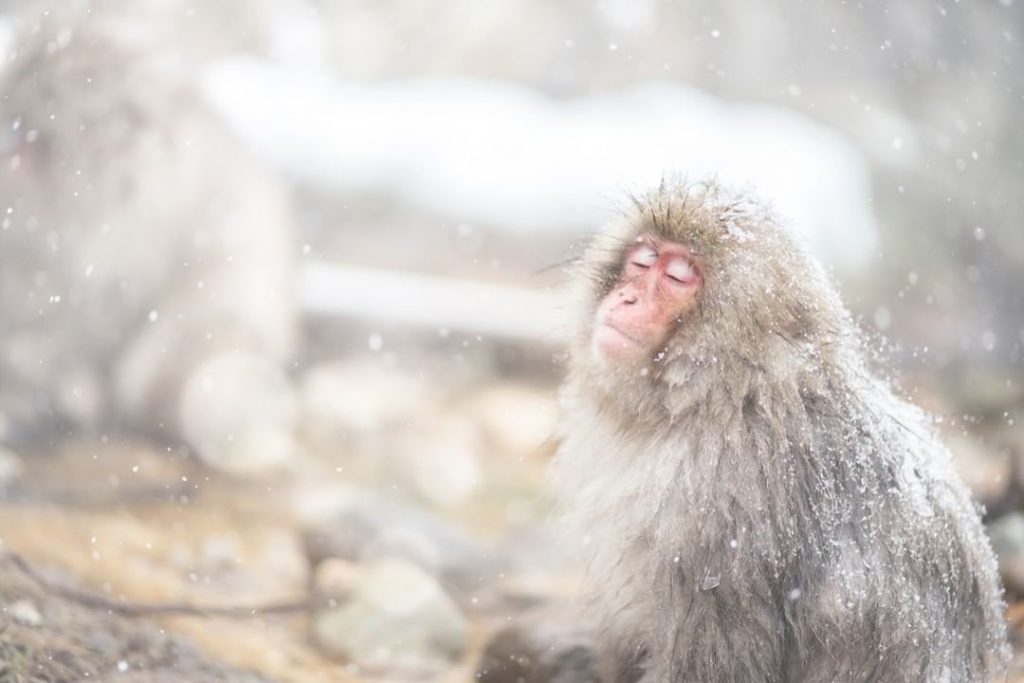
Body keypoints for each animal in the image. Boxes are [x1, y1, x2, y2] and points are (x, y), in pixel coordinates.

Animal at [478, 180, 1009, 682]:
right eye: (642, 259)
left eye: (677, 276)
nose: (625, 297)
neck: (729, 398)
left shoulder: (723, 512)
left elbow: (719, 659)